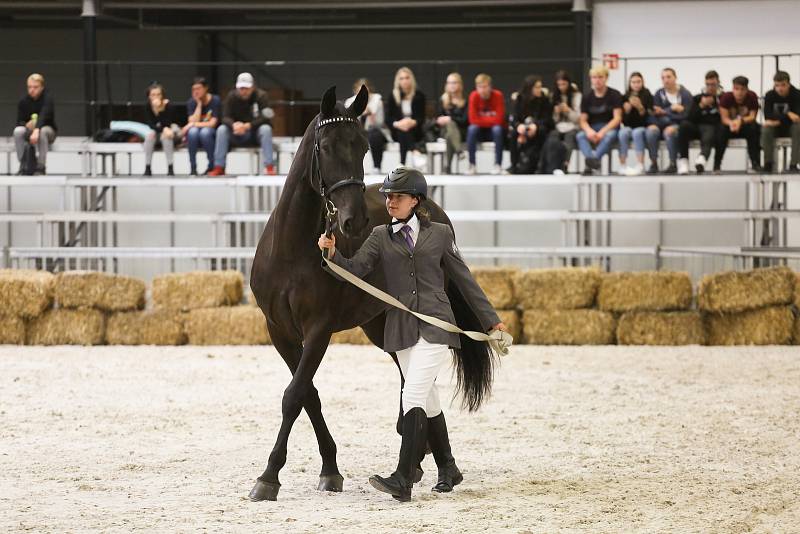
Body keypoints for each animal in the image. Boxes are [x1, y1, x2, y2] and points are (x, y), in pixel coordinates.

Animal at [248, 84, 494, 502]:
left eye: (364, 146)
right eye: (326, 146)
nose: (355, 221)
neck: (292, 251)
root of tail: (435, 211)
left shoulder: (319, 329)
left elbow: (294, 395)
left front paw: (269, 476)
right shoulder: (279, 331)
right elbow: (307, 393)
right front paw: (329, 469)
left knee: (416, 384)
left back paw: (431, 466)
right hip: (382, 326)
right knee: (410, 382)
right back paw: (418, 463)